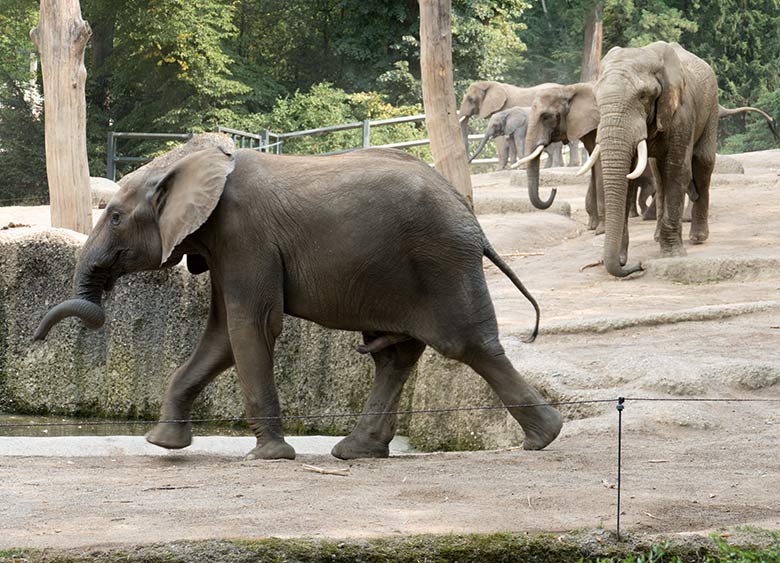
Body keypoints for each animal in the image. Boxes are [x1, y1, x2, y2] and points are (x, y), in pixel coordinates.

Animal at [35, 148, 560, 460]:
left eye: (114, 217)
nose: (36, 339)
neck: (188, 161)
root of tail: (473, 219)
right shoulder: (227, 246)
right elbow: (222, 334)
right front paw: (164, 444)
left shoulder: (245, 237)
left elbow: (251, 327)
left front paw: (267, 456)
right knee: (397, 355)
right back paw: (355, 452)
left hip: (440, 259)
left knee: (466, 343)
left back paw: (544, 437)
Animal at [580, 40, 720, 278]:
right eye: (597, 100)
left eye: (643, 97)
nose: (639, 266)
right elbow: (629, 176)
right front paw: (620, 259)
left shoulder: (682, 112)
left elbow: (677, 170)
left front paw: (672, 256)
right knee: (658, 174)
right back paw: (657, 237)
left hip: (711, 106)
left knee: (703, 163)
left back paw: (697, 238)